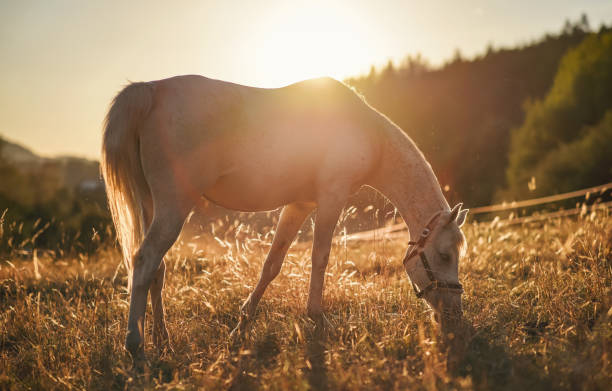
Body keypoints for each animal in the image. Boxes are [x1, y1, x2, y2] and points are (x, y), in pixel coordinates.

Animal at [101, 75, 468, 360]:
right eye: (444, 255)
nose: (454, 315)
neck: (366, 132)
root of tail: (150, 91)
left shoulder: (299, 205)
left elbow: (272, 264)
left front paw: (241, 326)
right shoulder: (331, 198)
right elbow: (320, 257)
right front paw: (317, 318)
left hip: (152, 206)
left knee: (156, 269)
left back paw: (162, 340)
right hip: (174, 207)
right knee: (145, 260)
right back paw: (136, 347)